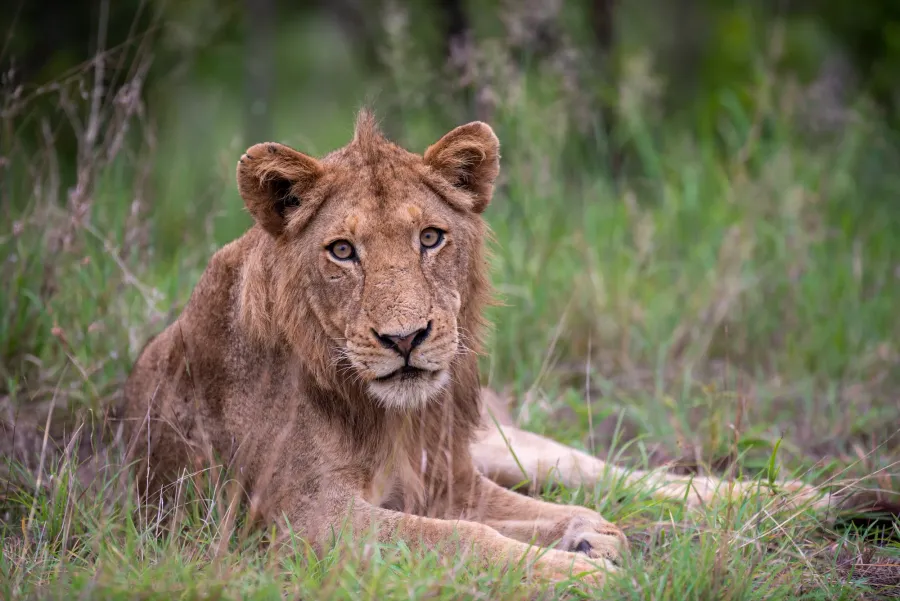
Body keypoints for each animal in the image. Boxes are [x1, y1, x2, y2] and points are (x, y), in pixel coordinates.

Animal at [122, 111, 826, 588]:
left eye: (431, 238)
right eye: (342, 251)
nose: (405, 339)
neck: (388, 417)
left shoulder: (448, 477)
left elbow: (533, 511)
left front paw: (587, 535)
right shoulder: (301, 519)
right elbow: (465, 537)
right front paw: (580, 567)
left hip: (495, 443)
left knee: (605, 469)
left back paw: (799, 497)